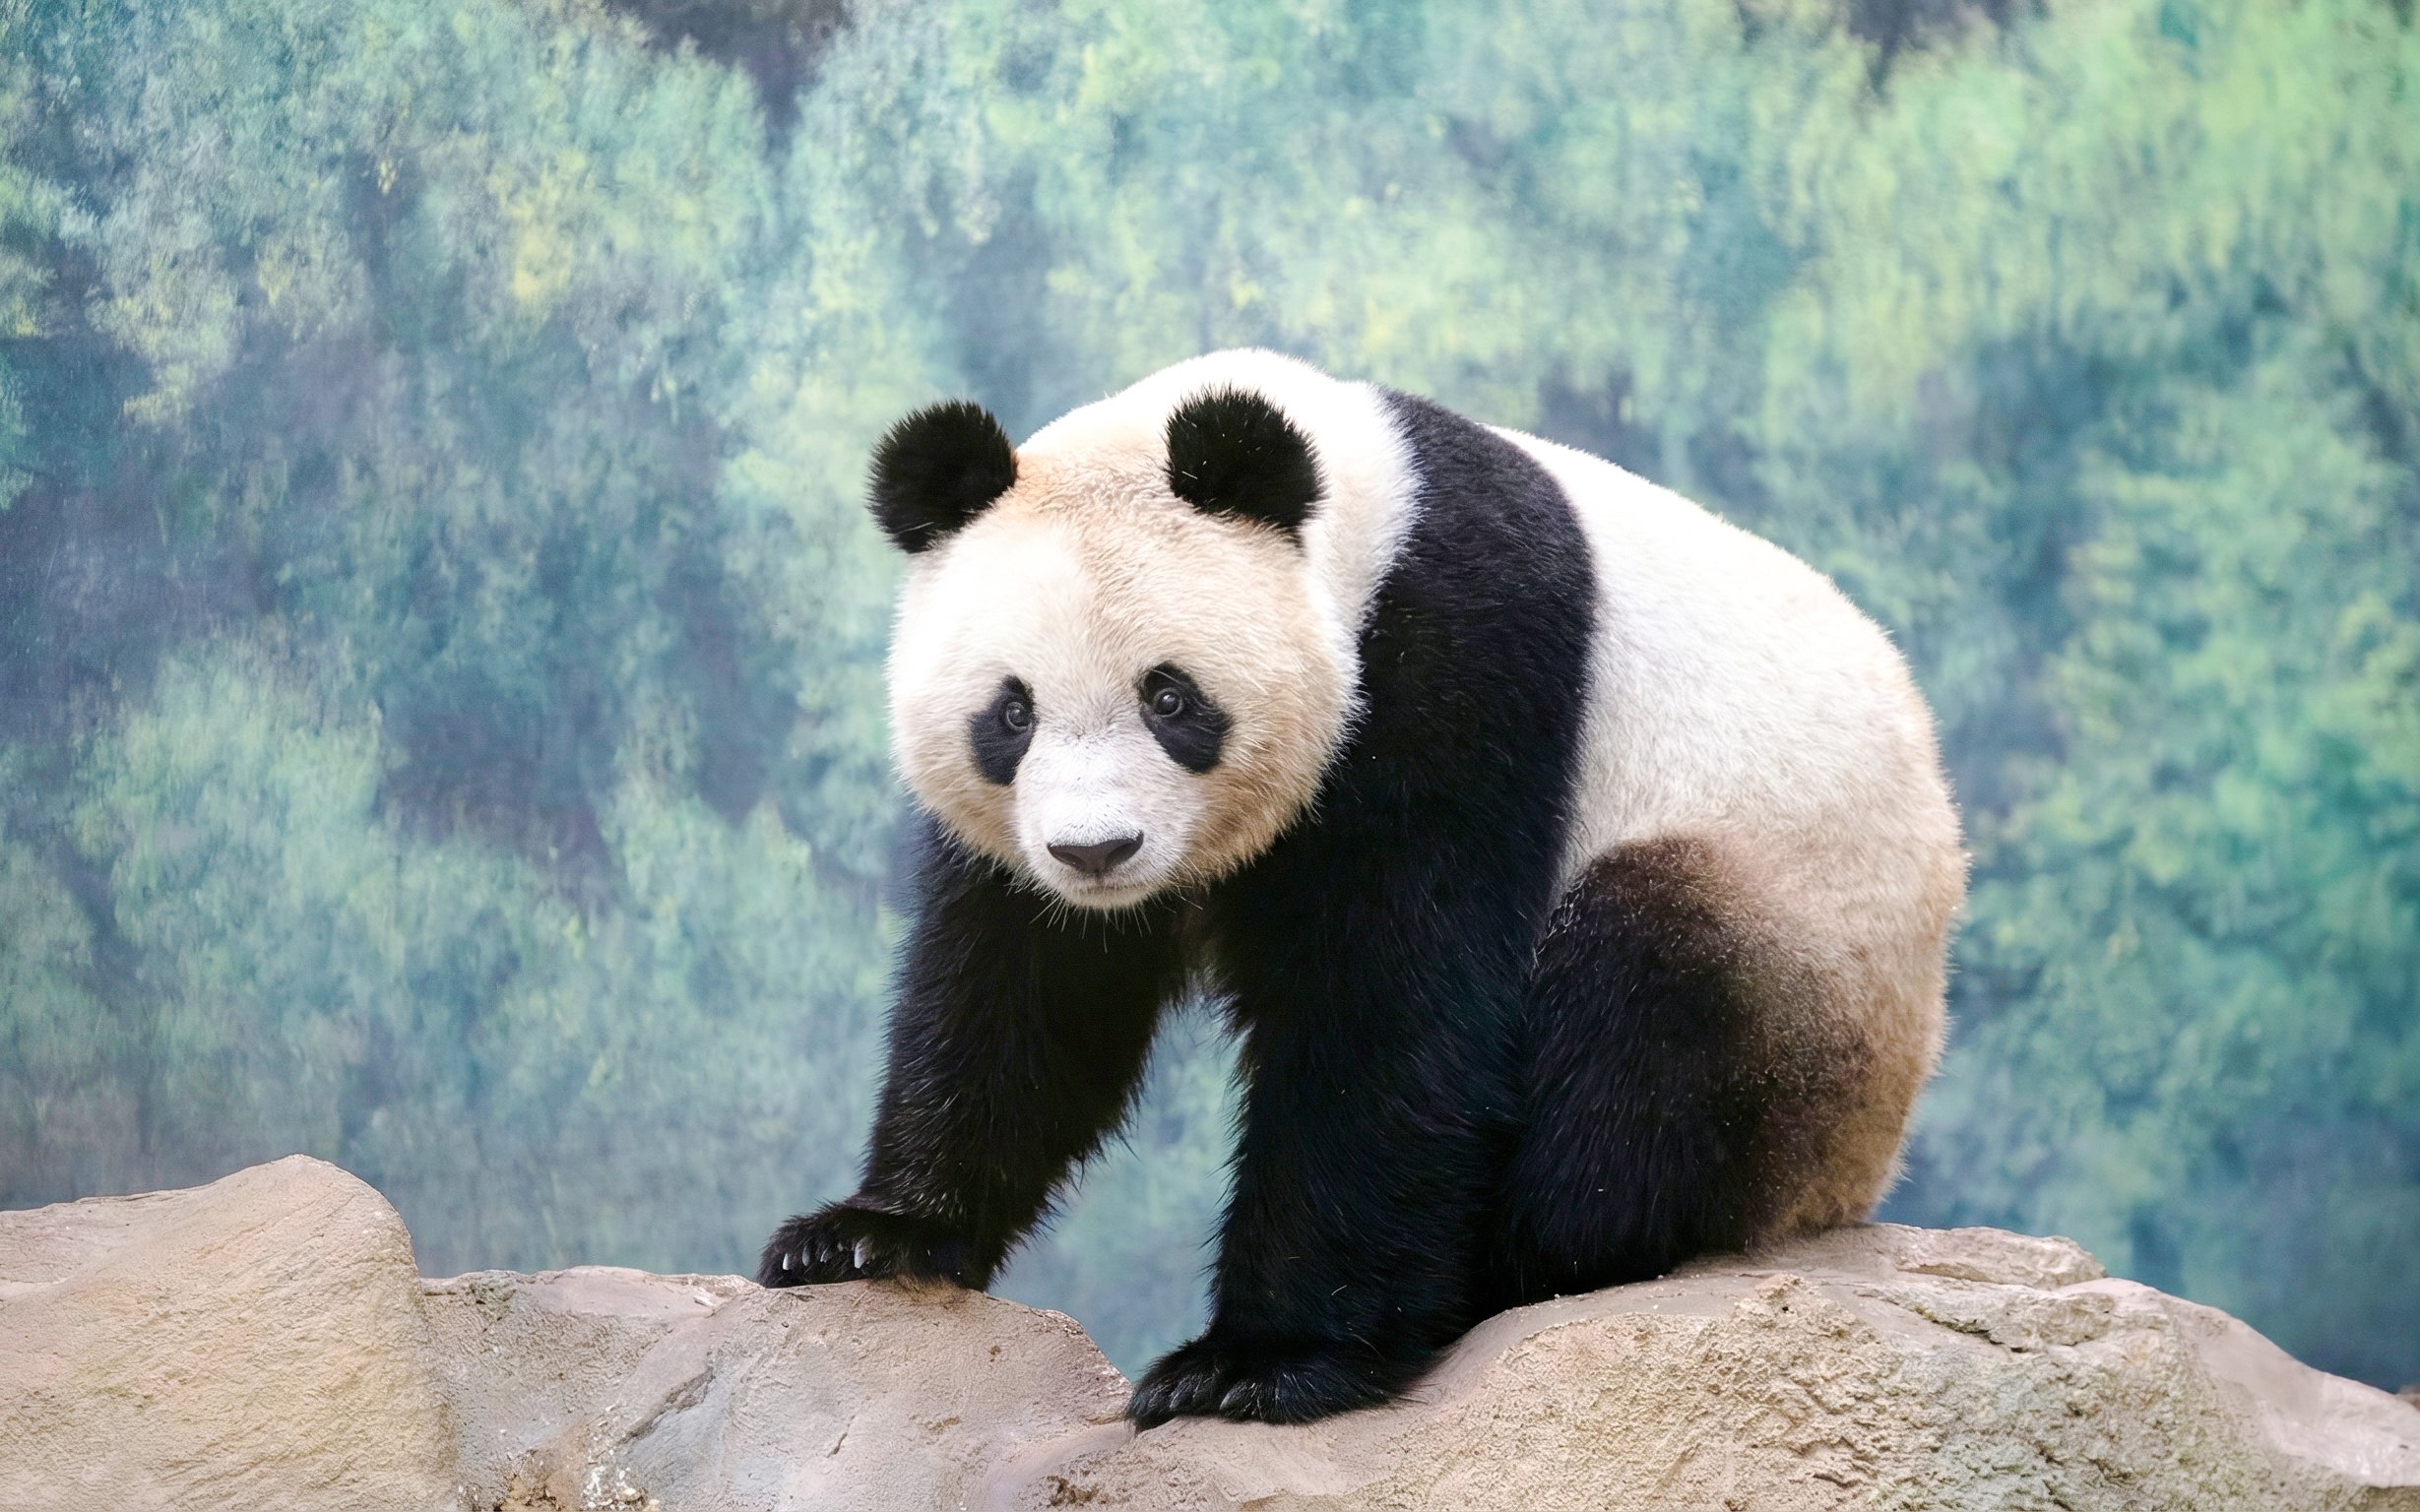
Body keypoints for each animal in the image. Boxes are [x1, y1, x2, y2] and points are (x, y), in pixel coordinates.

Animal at [758, 349, 1965, 1427]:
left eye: (1171, 698)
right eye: (1010, 713)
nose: (1097, 851)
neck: (1370, 522)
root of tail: (1852, 1180)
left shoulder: (1458, 671)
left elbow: (1393, 1005)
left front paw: (1255, 1365)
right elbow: (1023, 993)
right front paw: (869, 1235)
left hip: (1797, 961)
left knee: (1642, 1011)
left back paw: (1506, 1267)